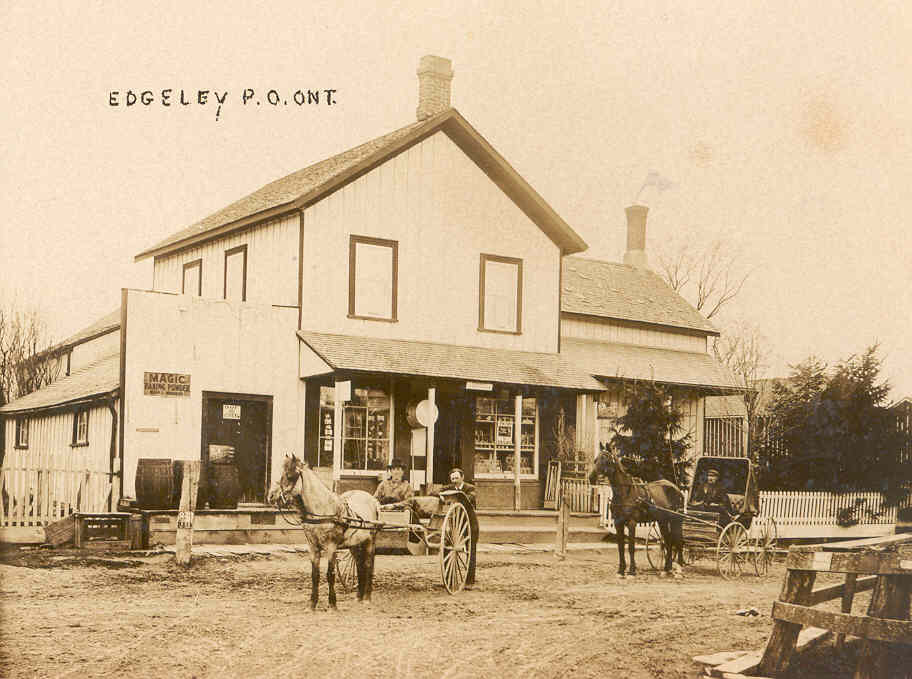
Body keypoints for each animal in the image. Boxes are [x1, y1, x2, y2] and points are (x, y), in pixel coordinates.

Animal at [268, 456, 378, 612]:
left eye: (289, 476)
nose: (271, 496)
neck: (323, 509)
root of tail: (372, 499)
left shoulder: (331, 547)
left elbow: (330, 574)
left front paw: (332, 604)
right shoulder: (313, 547)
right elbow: (315, 575)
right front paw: (312, 604)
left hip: (370, 541)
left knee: (368, 565)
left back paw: (367, 598)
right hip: (355, 545)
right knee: (359, 565)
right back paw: (359, 597)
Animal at [592, 452, 684, 580]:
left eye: (607, 461)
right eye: (595, 460)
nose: (592, 477)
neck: (625, 493)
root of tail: (676, 489)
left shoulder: (632, 523)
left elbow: (631, 547)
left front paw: (631, 571)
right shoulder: (618, 523)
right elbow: (621, 547)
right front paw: (621, 571)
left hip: (676, 521)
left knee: (679, 541)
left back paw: (679, 570)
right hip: (663, 521)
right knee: (668, 541)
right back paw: (666, 569)